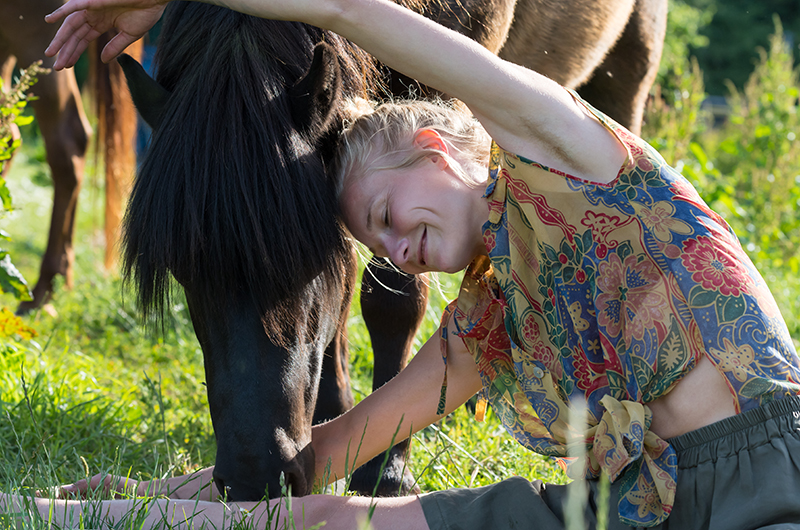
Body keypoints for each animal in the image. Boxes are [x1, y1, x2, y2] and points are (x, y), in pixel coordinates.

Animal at [120, 0, 668, 500]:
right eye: (184, 273)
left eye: (308, 263)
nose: (255, 478)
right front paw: (338, 419)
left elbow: (392, 300)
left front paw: (387, 471)